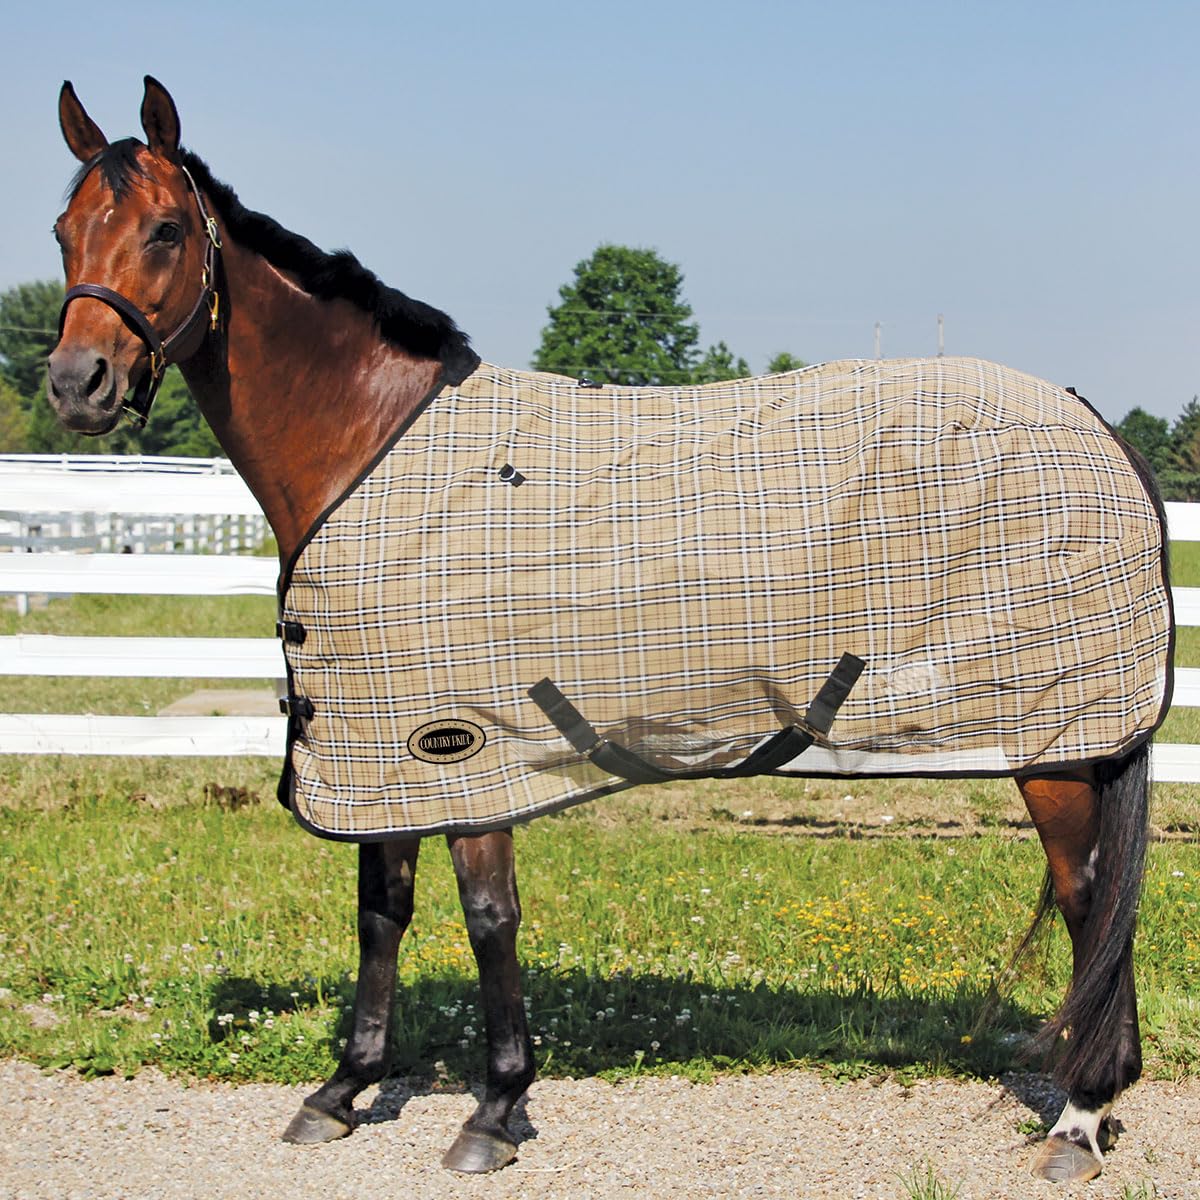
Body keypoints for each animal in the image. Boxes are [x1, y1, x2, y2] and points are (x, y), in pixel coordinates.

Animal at [45, 77, 1173, 1183]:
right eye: (63, 230)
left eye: (164, 230)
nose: (74, 383)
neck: (371, 450)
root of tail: (1093, 420)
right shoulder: (381, 747)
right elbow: (382, 909)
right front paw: (344, 1089)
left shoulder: (467, 747)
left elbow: (488, 920)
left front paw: (495, 1109)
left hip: (1058, 740)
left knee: (1089, 900)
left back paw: (1080, 1118)